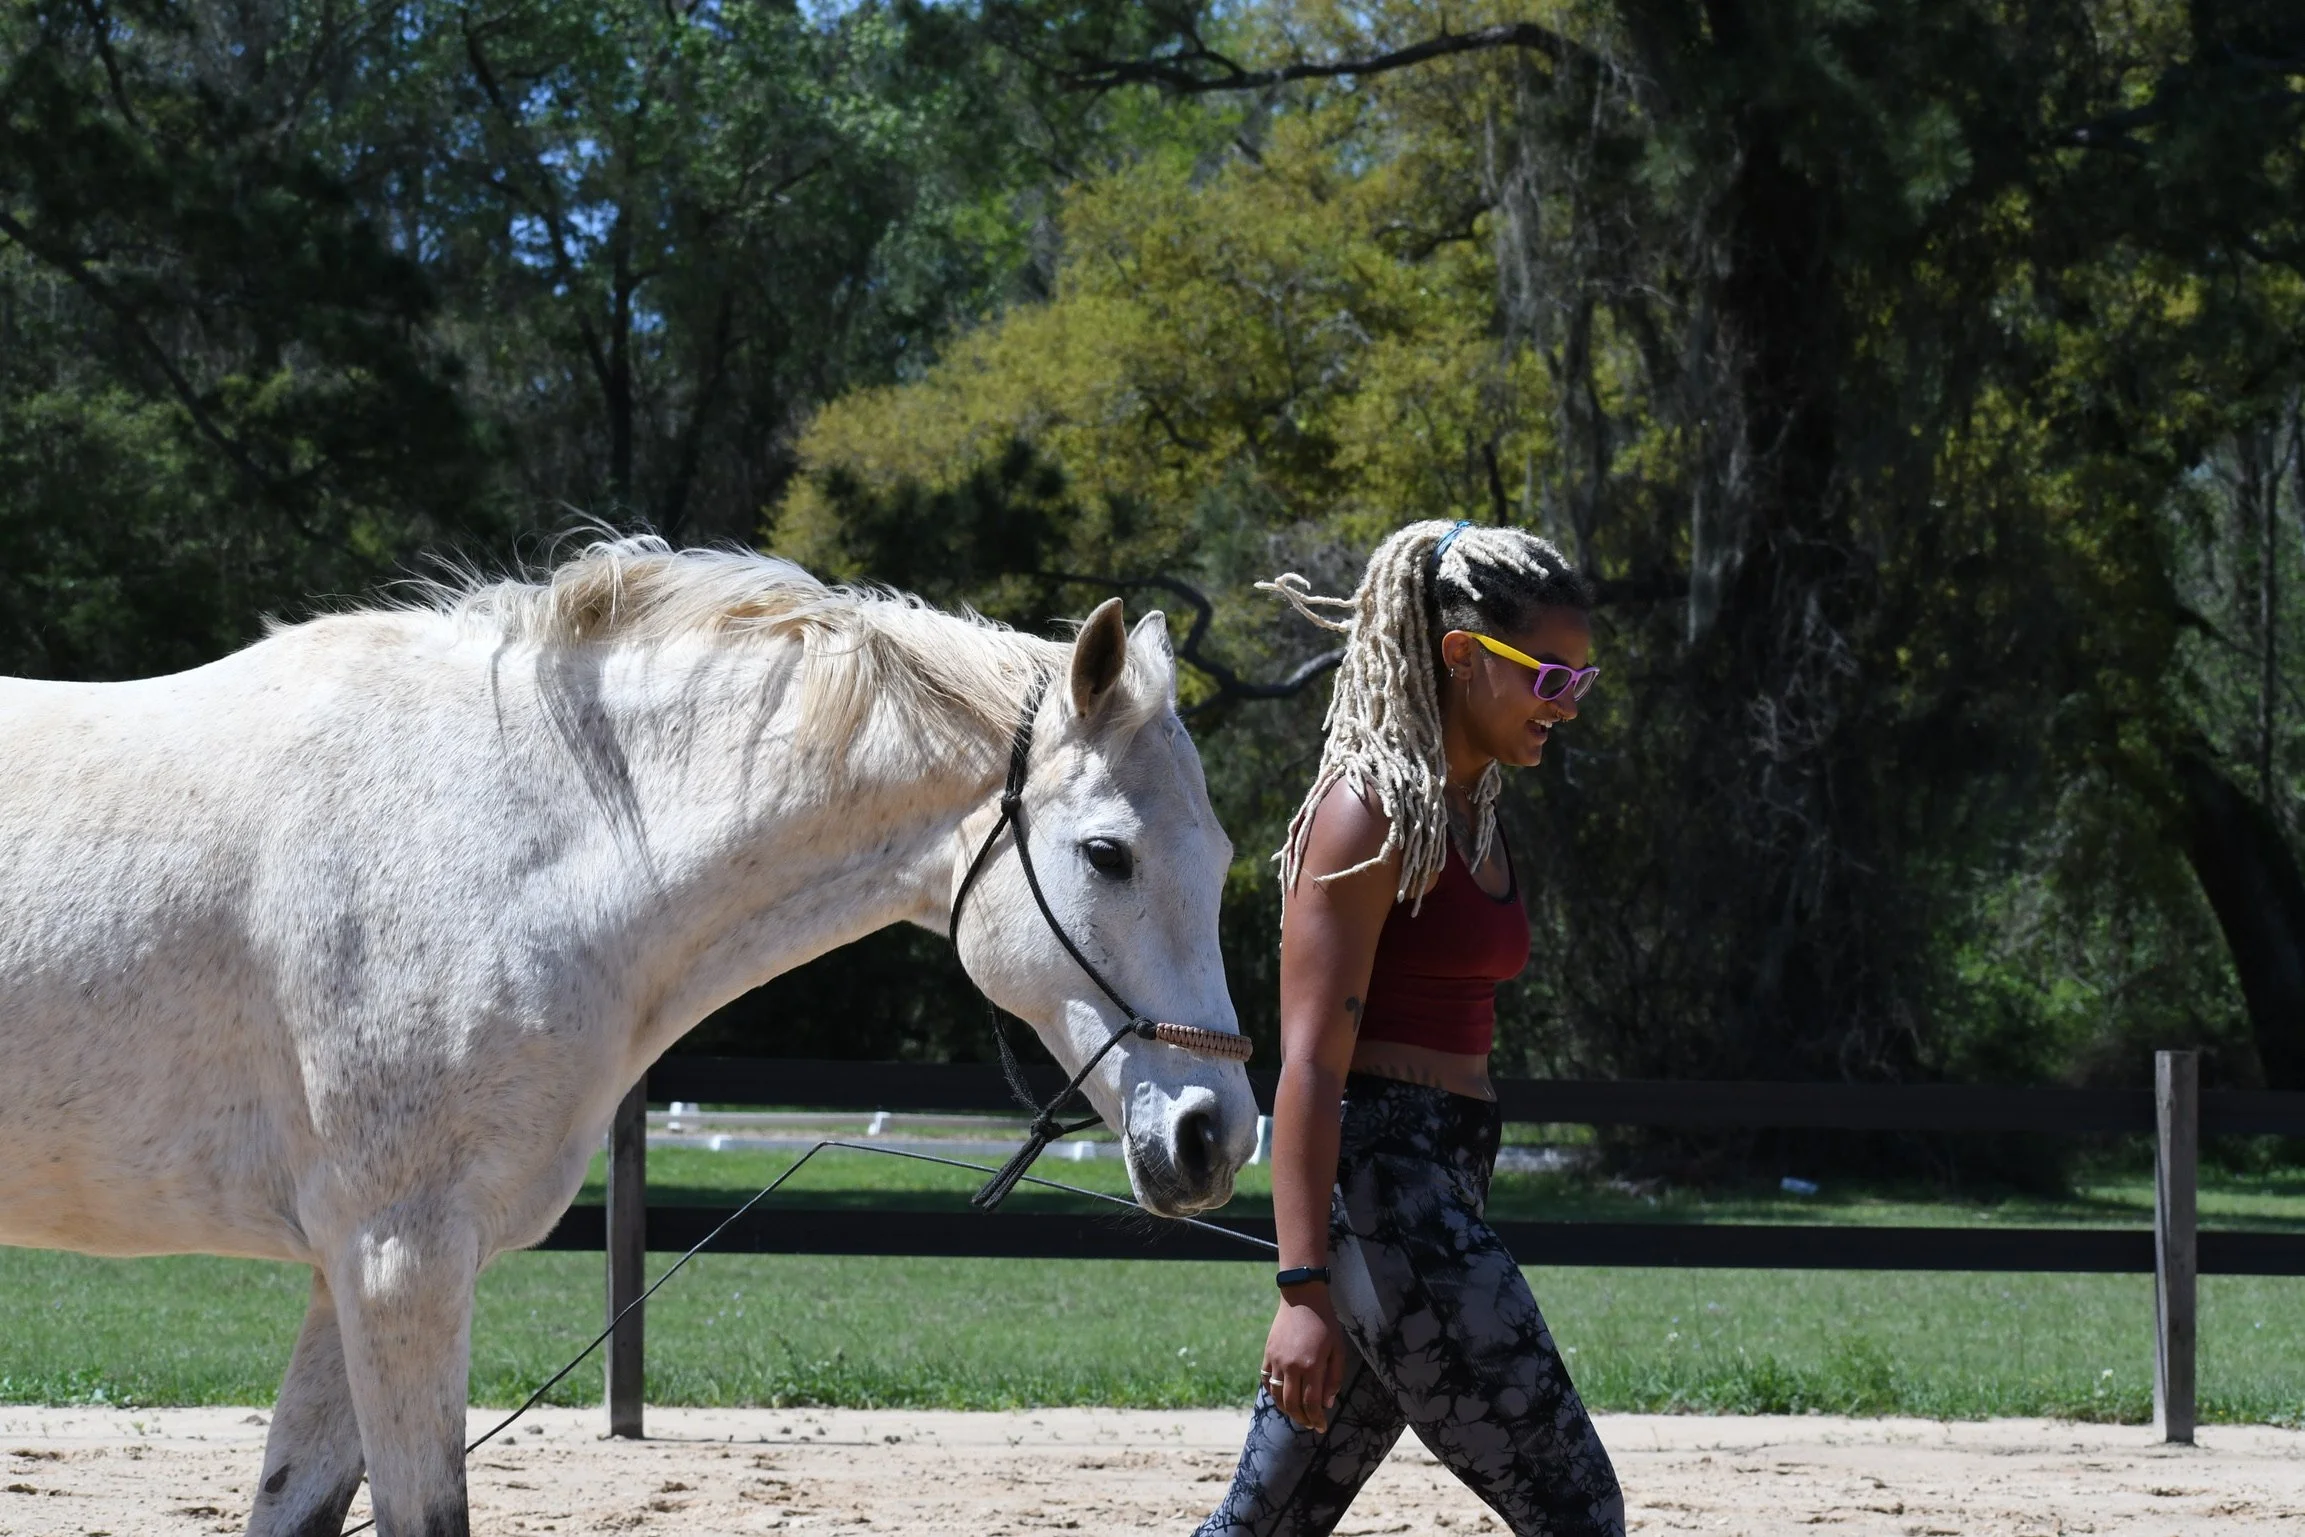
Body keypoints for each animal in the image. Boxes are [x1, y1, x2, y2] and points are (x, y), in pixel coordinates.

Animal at [0, 537, 1259, 1537]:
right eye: (1107, 853)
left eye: (1223, 860)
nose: (1214, 1135)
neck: (500, 835)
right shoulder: (400, 1261)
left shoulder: (346, 1268)